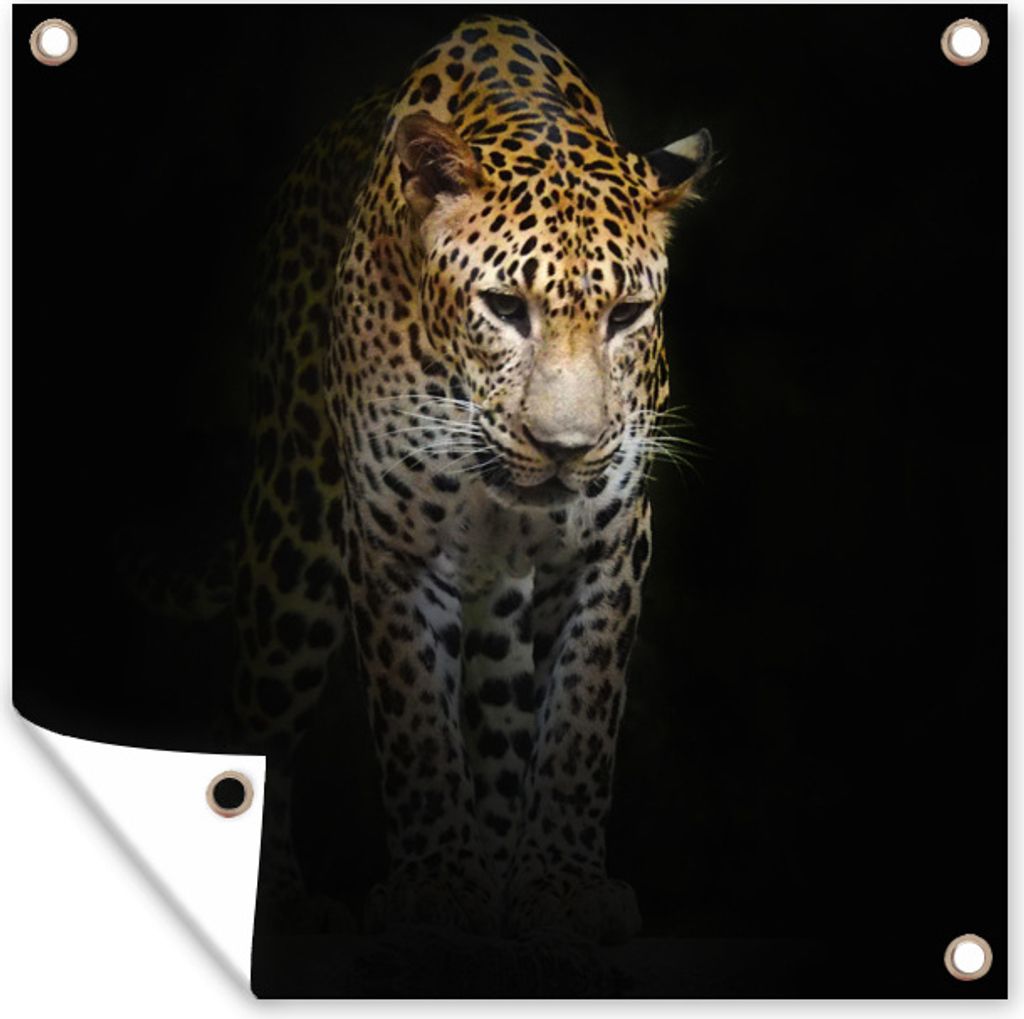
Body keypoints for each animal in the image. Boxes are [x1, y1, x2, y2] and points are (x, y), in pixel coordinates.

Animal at [232, 13, 711, 945]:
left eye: (627, 316)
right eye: (504, 309)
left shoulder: (611, 546)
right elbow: (414, 720)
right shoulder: (389, 543)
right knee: (262, 719)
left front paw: (559, 883)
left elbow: (579, 722)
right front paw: (437, 885)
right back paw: (285, 902)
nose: (565, 446)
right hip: (292, 551)